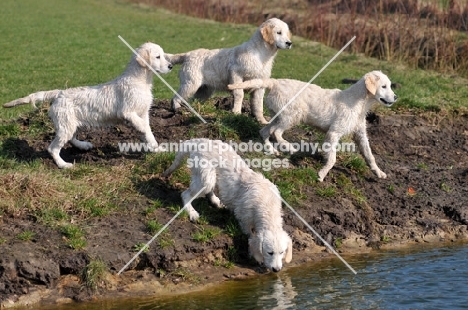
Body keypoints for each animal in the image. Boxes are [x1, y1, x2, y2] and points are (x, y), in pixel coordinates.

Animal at [3, 42, 174, 168]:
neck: (140, 79)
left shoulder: (143, 113)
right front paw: (150, 142)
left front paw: (155, 148)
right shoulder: (128, 112)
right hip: (66, 123)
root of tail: (59, 93)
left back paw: (83, 145)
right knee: (53, 148)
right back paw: (63, 165)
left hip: (70, 122)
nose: (171, 66)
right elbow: (144, 128)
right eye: (158, 56)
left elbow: (148, 133)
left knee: (71, 138)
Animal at [163, 139, 290, 272]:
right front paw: (254, 255)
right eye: (270, 253)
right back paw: (192, 212)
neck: (268, 206)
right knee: (186, 194)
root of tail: (200, 141)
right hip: (205, 177)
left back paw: (215, 201)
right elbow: (249, 235)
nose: (277, 269)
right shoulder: (244, 217)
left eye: (282, 252)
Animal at [229, 71, 396, 180]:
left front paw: (379, 172)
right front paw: (322, 173)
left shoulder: (360, 135)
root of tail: (274, 82)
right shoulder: (334, 133)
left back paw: (272, 150)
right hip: (293, 114)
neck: (358, 102)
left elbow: (369, 156)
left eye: (389, 86)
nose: (395, 97)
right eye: (384, 86)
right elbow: (332, 158)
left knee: (265, 131)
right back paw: (290, 148)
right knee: (276, 132)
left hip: (279, 115)